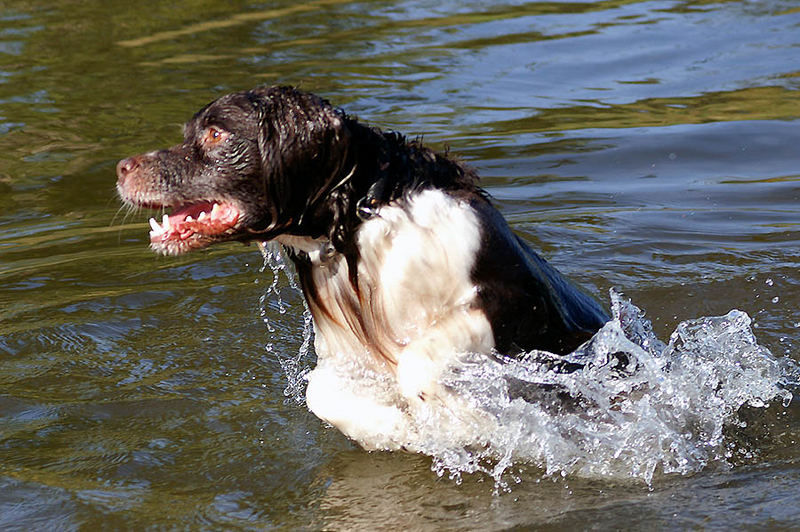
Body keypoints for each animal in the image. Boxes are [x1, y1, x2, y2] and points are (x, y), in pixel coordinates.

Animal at [117, 85, 608, 450]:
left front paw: (464, 422)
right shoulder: (344, 351)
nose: (121, 167)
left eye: (216, 135)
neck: (362, 216)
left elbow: (417, 361)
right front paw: (392, 427)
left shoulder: (509, 302)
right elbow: (322, 390)